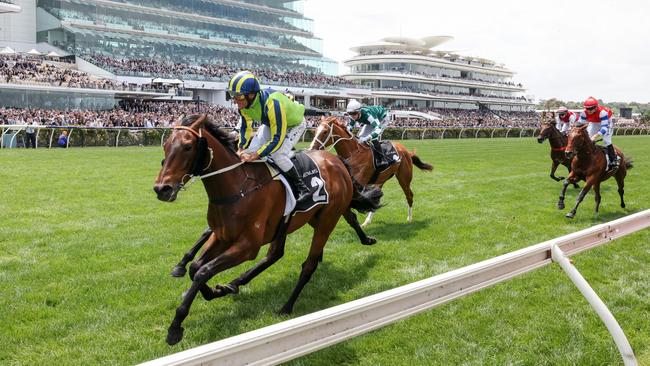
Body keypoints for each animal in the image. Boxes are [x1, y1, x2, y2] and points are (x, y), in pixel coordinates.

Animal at [153, 114, 380, 346]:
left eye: (188, 146)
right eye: (166, 145)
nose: (162, 189)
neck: (238, 187)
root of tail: (337, 161)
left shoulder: (248, 246)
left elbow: (203, 271)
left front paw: (175, 327)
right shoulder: (222, 235)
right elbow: (196, 268)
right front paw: (211, 290)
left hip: (327, 219)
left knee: (308, 265)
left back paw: (286, 306)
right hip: (301, 219)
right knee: (277, 254)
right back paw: (235, 283)